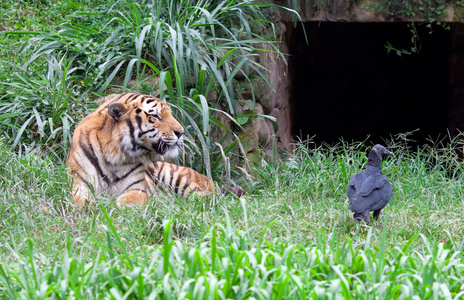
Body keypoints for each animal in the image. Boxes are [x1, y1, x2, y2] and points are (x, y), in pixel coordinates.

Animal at [65, 92, 216, 207]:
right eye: (155, 116)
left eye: (171, 115)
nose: (181, 132)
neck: (114, 156)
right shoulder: (78, 183)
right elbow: (80, 201)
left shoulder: (137, 189)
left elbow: (123, 203)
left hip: (172, 175)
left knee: (204, 198)